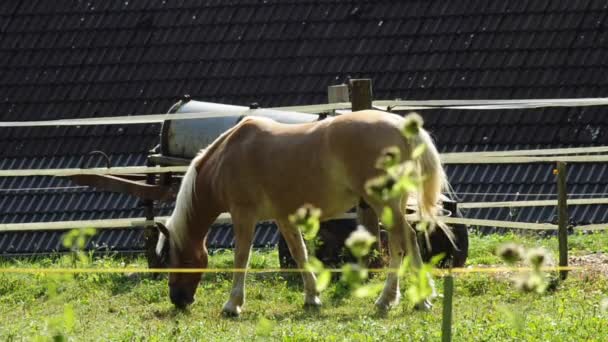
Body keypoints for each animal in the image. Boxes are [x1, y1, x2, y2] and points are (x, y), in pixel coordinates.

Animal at [156, 110, 452, 316]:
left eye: (173, 258)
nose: (178, 300)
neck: (227, 157)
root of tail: (403, 128)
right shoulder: (283, 218)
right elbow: (300, 254)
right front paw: (312, 297)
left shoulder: (243, 217)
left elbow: (242, 257)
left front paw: (233, 305)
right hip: (394, 205)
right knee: (405, 242)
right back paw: (413, 298)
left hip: (384, 203)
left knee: (403, 241)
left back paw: (397, 299)